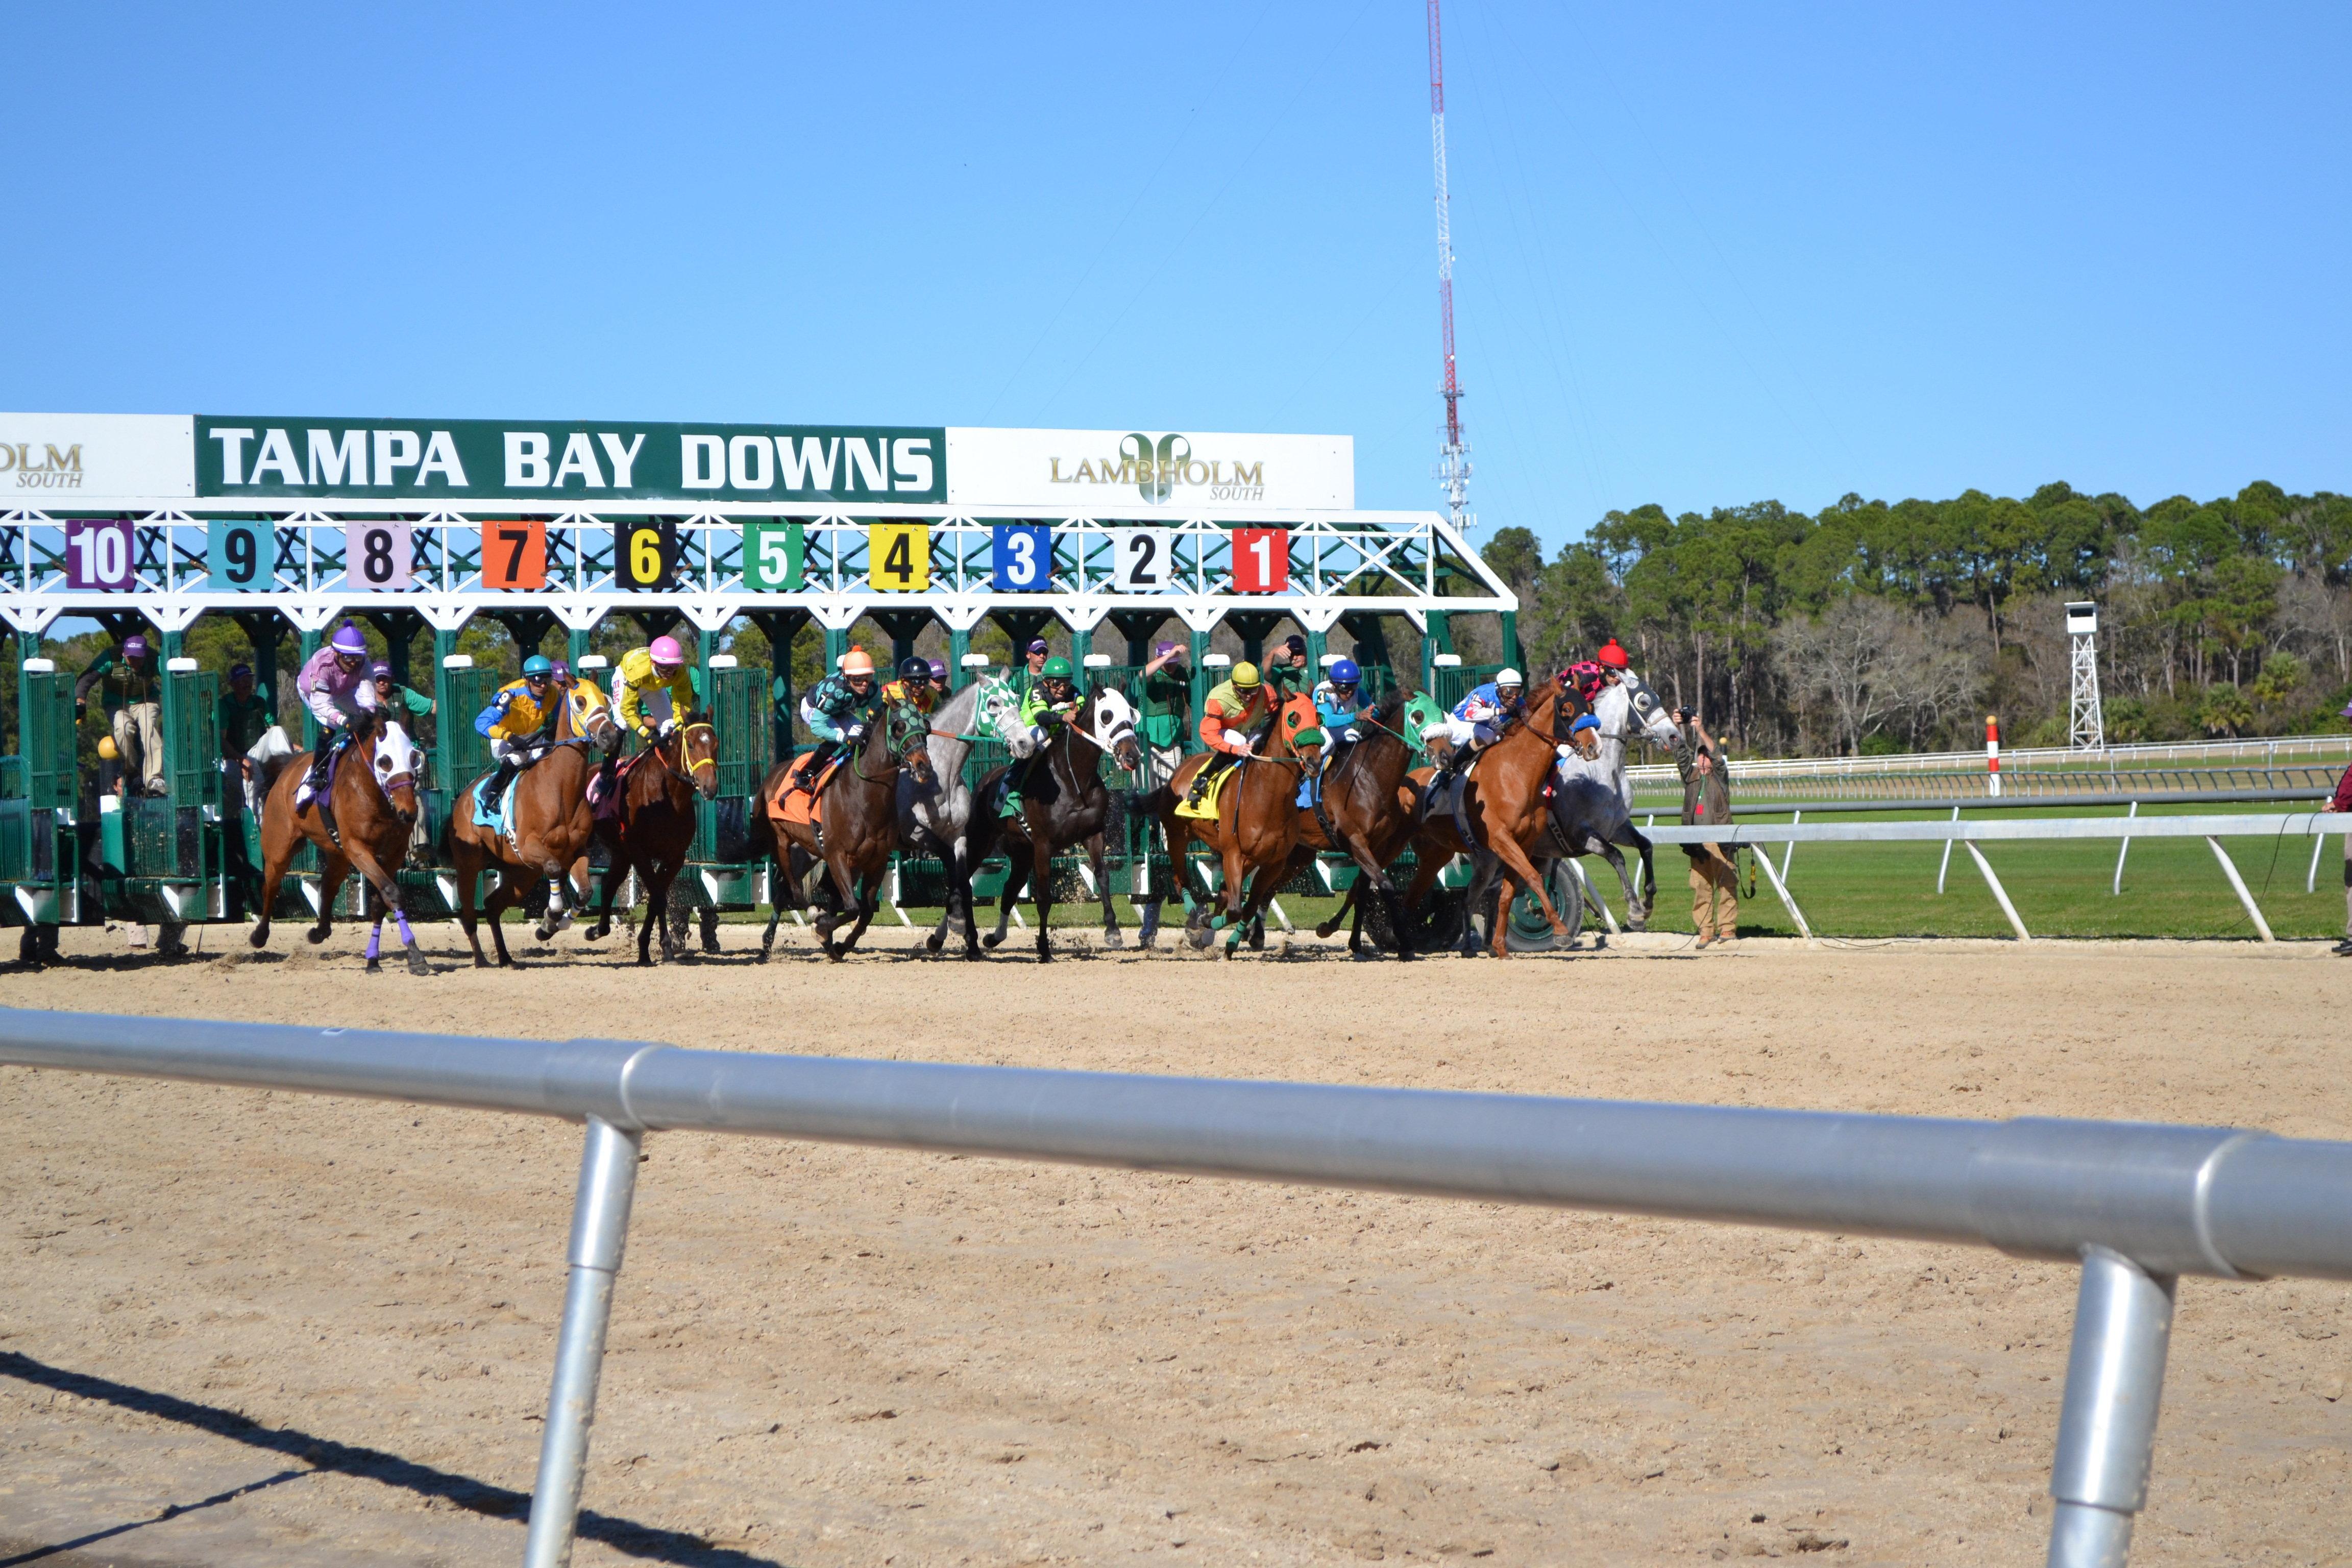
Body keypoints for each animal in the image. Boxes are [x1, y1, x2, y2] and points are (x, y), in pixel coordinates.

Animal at [253, 709, 432, 973]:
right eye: (385, 761)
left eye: (414, 757)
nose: (409, 812)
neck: (373, 795)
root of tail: (287, 770)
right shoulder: (358, 849)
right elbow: (391, 892)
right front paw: (416, 956)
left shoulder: (394, 852)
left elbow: (380, 901)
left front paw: (374, 959)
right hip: (280, 847)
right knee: (271, 885)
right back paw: (259, 935)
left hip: (337, 854)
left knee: (328, 885)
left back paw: (319, 932)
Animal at [585, 719, 720, 964]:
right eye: (691, 745)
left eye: (715, 744)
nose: (710, 787)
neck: (670, 797)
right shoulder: (640, 853)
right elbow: (658, 897)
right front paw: (664, 947)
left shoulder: (674, 857)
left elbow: (656, 898)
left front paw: (649, 948)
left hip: (620, 853)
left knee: (609, 886)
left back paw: (597, 930)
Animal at [757, 696, 931, 959]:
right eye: (899, 727)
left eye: (925, 725)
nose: (923, 766)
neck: (865, 796)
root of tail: (773, 774)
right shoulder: (836, 854)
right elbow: (852, 908)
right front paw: (821, 929)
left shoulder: (876, 861)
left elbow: (865, 911)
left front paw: (839, 945)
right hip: (782, 843)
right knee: (793, 890)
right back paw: (806, 920)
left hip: (811, 854)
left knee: (789, 893)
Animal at [964, 691, 1147, 964]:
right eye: (1107, 716)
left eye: (1131, 713)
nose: (1132, 755)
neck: (1072, 779)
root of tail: (985, 780)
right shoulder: (1043, 845)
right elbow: (1044, 898)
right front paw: (1044, 949)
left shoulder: (1093, 835)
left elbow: (1103, 877)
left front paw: (1113, 931)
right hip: (981, 842)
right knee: (962, 881)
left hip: (1021, 853)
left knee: (1008, 890)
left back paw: (993, 937)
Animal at [1152, 691, 1336, 959]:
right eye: (1294, 718)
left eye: (1319, 718)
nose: (1313, 762)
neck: (1265, 796)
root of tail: (1181, 768)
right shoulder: (1234, 854)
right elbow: (1236, 909)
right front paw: (1208, 923)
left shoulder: (1273, 863)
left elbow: (1247, 907)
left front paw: (1231, 943)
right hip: (1177, 837)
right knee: (1180, 880)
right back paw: (1195, 916)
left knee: (1221, 892)